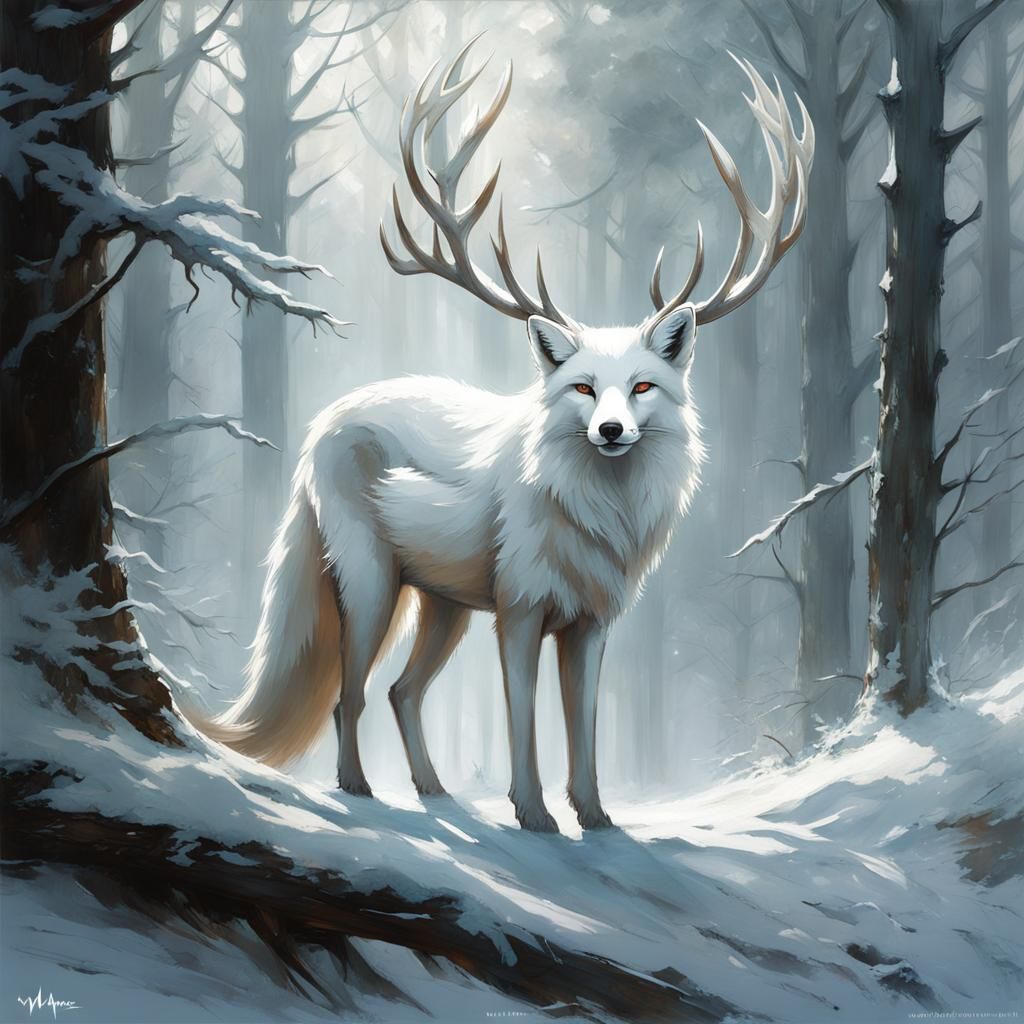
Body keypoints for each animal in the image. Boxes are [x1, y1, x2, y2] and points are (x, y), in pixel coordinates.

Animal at [194, 41, 813, 833]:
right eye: (583, 387)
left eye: (643, 386)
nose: (612, 429)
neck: (598, 518)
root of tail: (324, 423)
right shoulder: (519, 614)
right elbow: (524, 720)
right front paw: (534, 813)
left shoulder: (591, 625)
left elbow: (583, 727)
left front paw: (595, 816)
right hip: (372, 586)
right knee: (349, 695)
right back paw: (359, 788)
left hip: (445, 607)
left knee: (401, 692)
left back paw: (433, 790)